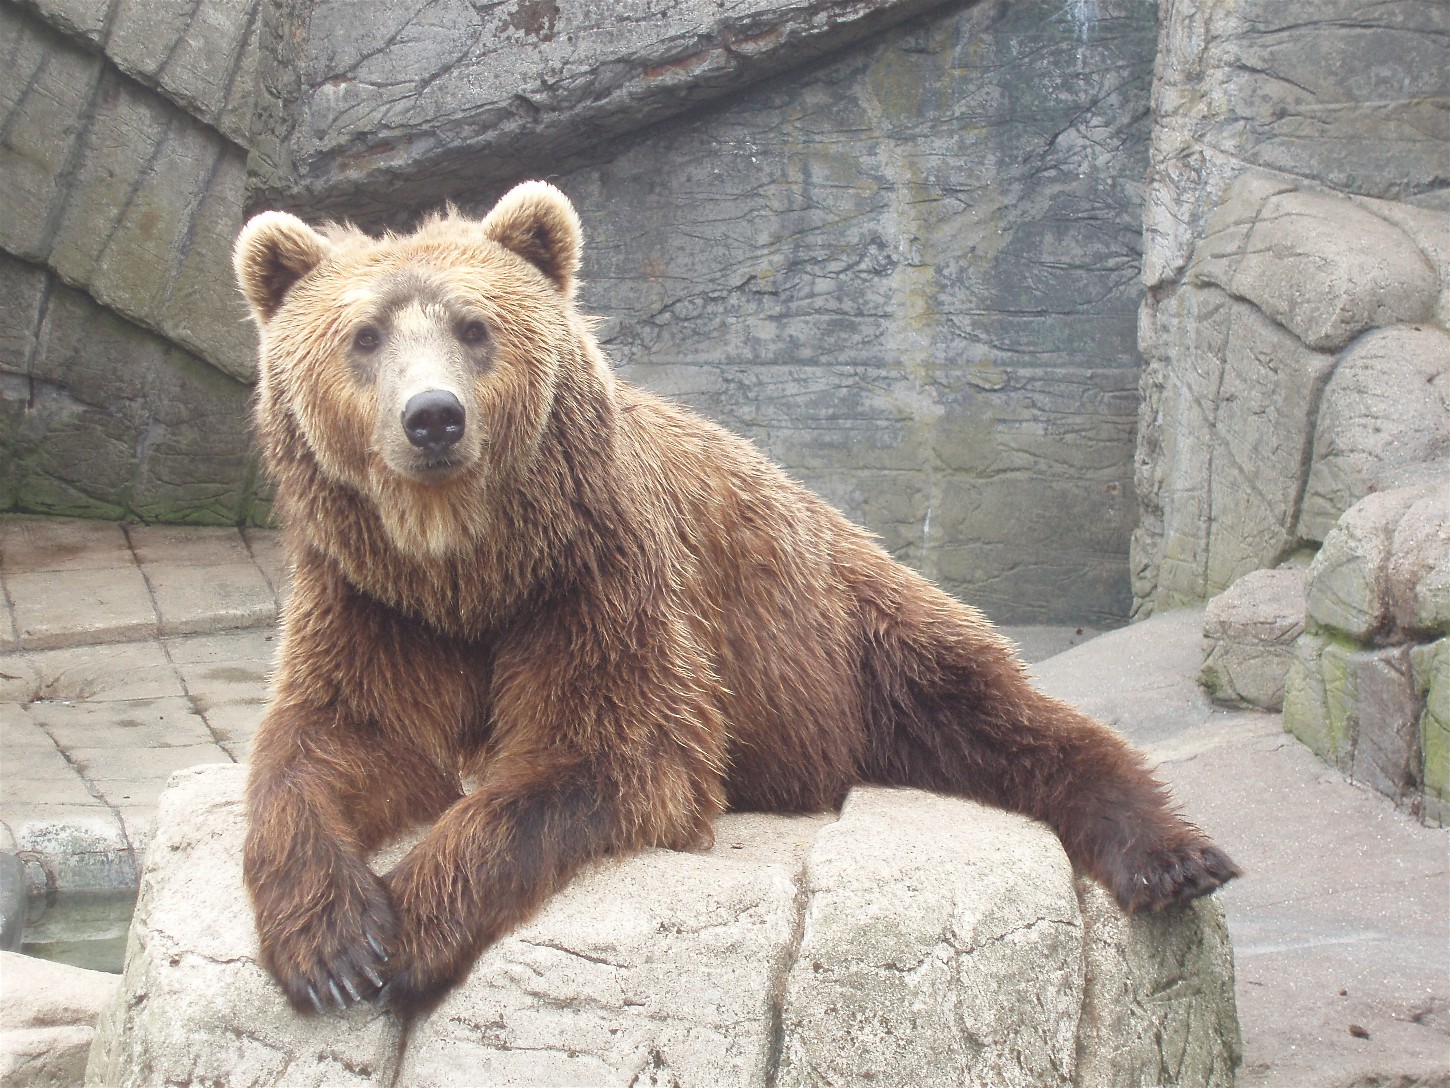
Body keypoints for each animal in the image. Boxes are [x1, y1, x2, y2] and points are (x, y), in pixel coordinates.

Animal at [233, 180, 1239, 1017]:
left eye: (474, 327)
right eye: (365, 336)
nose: (433, 417)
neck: (471, 567)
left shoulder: (596, 583)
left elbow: (606, 751)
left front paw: (408, 928)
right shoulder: (374, 604)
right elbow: (336, 739)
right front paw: (332, 944)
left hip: (850, 632)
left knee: (999, 711)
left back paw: (1172, 856)